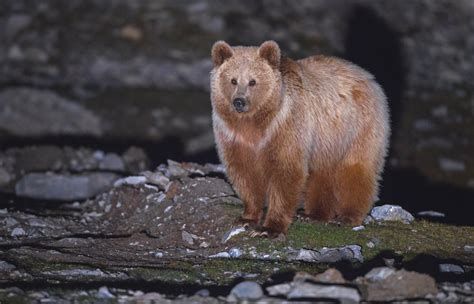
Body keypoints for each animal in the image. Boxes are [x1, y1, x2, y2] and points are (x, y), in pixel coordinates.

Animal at [210, 40, 388, 236]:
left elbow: (286, 172)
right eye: (233, 80)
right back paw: (314, 214)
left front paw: (269, 228)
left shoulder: (287, 126)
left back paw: (346, 217)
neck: (255, 123)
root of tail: (368, 76)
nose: (239, 102)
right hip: (326, 142)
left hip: (357, 128)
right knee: (322, 173)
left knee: (355, 168)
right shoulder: (233, 137)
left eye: (253, 81)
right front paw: (247, 218)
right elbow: (244, 173)